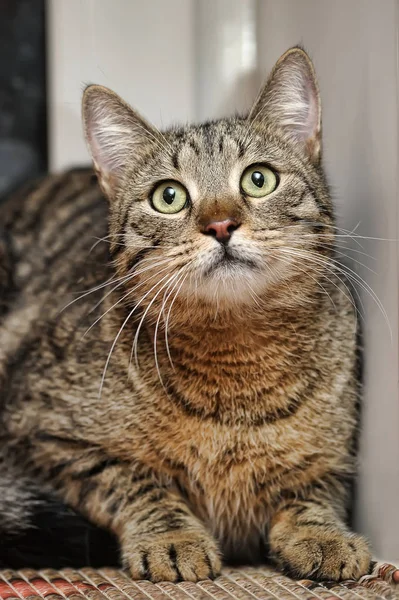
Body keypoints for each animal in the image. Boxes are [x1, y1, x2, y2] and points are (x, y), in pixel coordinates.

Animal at [0, 47, 372, 580]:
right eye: (168, 196)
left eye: (259, 179)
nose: (221, 224)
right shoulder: (40, 437)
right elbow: (132, 481)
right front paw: (172, 537)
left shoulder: (337, 460)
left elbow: (314, 490)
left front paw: (320, 533)